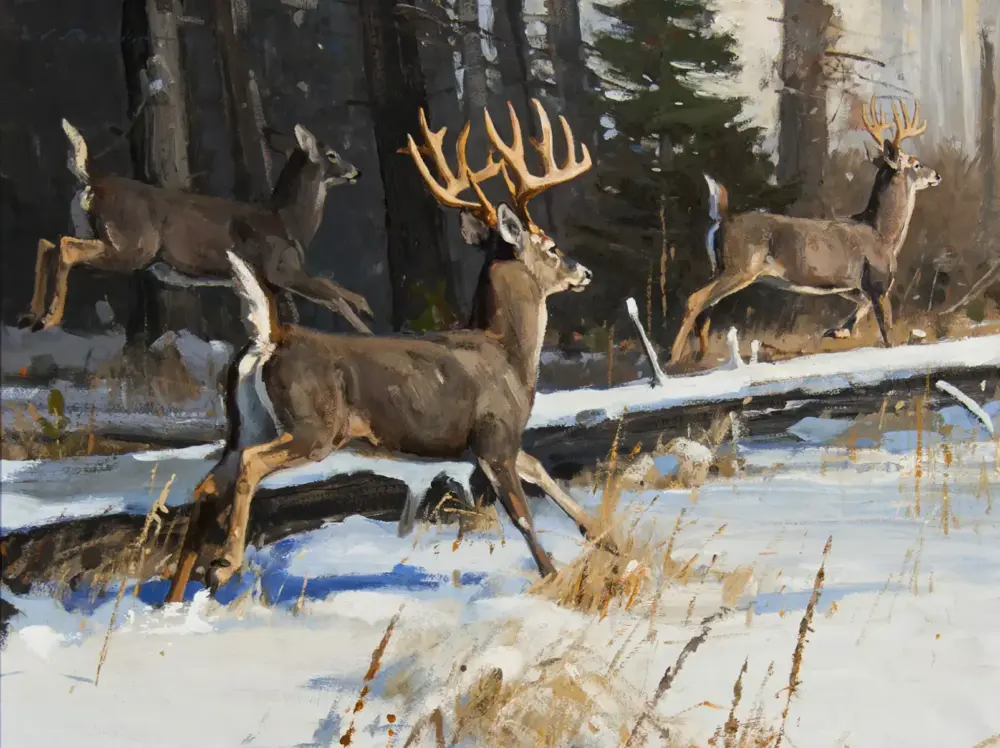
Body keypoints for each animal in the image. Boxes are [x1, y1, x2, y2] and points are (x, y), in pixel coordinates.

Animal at [18, 119, 374, 336]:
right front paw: (369, 325)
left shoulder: (263, 282)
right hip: (131, 246)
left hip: (103, 235)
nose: (357, 171)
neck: (289, 221)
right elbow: (330, 291)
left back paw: (30, 316)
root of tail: (95, 179)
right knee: (65, 247)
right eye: (332, 154)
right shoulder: (278, 269)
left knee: (48, 243)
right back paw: (48, 319)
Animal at [164, 99, 607, 602]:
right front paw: (554, 576)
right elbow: (522, 514)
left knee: (206, 486)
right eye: (550, 246)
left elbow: (540, 470)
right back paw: (222, 565)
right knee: (249, 467)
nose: (584, 271)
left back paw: (176, 595)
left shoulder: (494, 444)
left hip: (246, 423)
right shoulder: (494, 435)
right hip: (314, 425)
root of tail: (270, 337)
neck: (510, 353)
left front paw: (600, 534)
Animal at [669, 96, 941, 364]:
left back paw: (701, 356)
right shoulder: (878, 282)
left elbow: (861, 307)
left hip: (720, 267)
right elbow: (887, 335)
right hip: (740, 266)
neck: (882, 233)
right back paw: (673, 357)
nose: (937, 175)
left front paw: (839, 331)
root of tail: (724, 217)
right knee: (695, 299)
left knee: (707, 306)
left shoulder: (852, 286)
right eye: (916, 164)